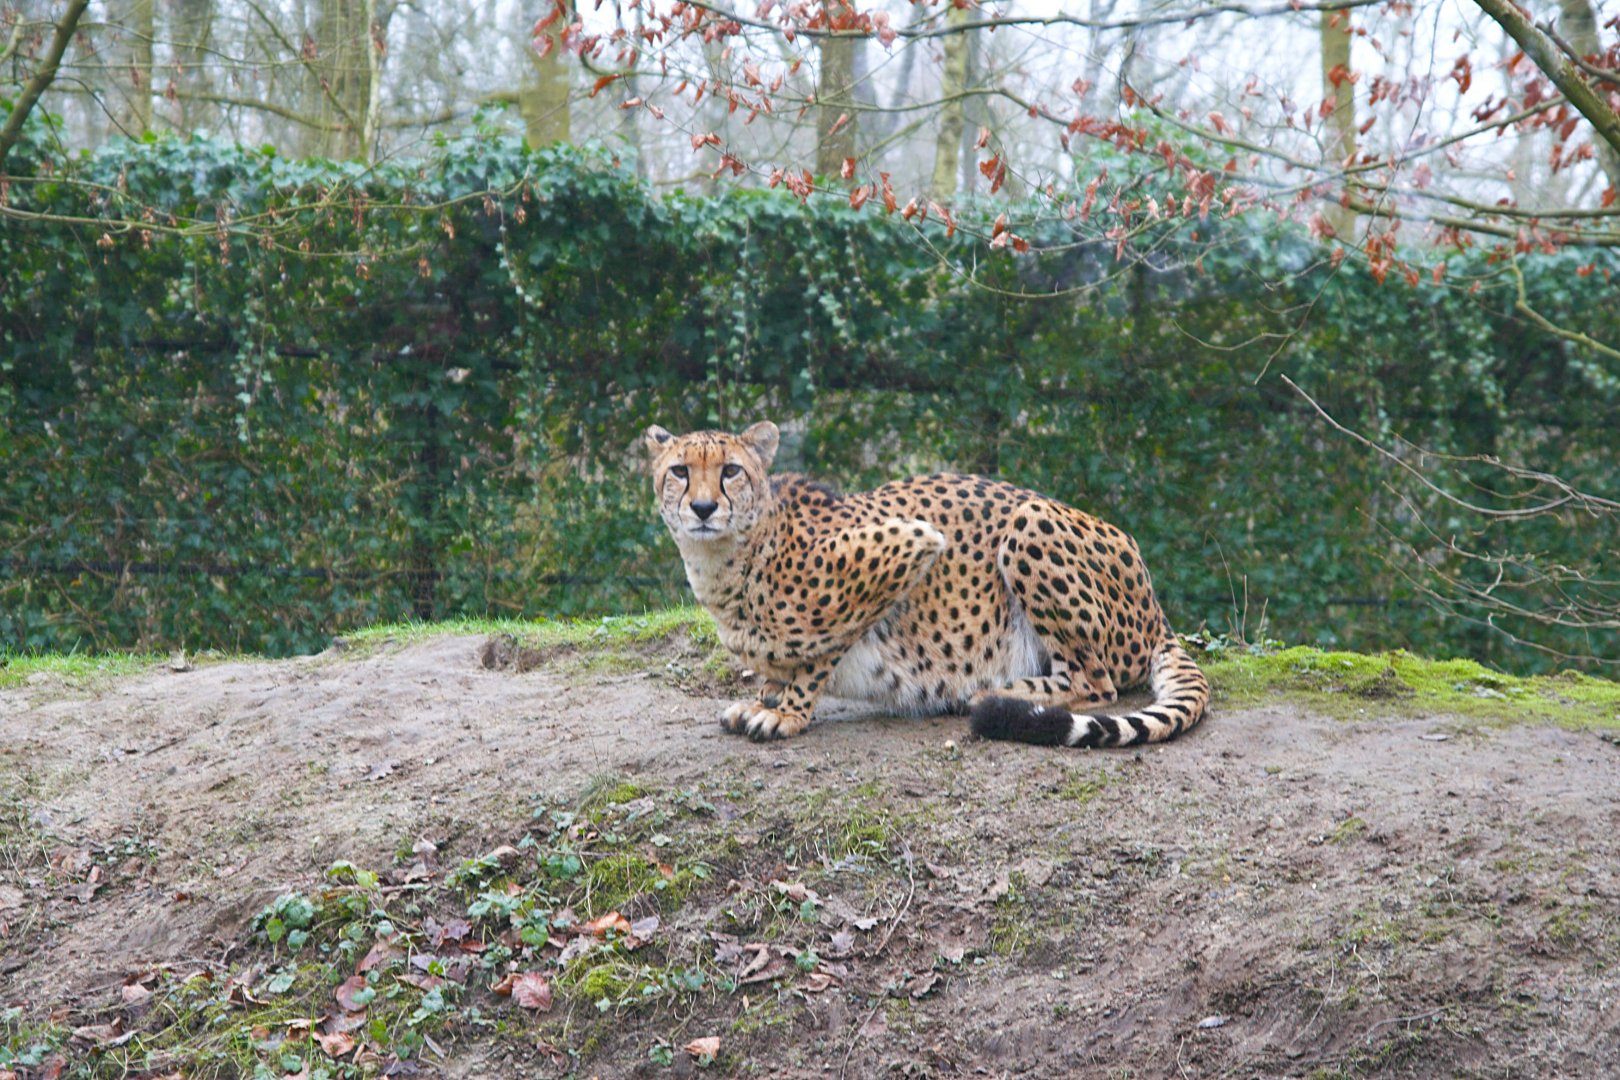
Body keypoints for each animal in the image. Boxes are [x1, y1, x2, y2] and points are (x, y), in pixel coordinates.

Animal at [644, 420, 1210, 748]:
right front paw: (766, 696)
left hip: (1029, 520)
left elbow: (822, 649)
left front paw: (785, 712)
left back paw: (986, 692)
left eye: (731, 471)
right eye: (679, 471)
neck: (729, 559)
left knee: (1096, 681)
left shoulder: (912, 541)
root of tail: (1157, 611)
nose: (703, 508)